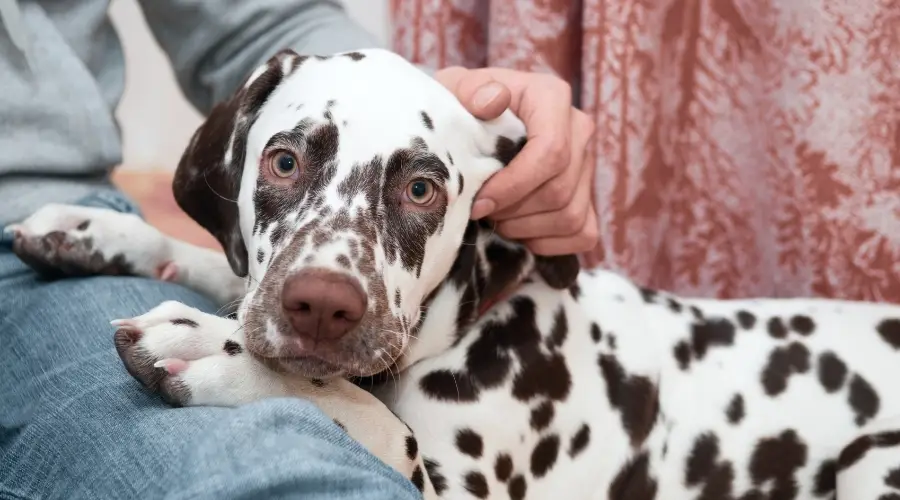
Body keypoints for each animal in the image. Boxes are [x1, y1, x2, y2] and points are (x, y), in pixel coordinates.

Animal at [8, 47, 900, 500]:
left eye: (421, 188)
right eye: (284, 159)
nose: (320, 307)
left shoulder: (455, 487)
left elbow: (371, 419)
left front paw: (210, 349)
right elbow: (225, 272)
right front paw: (97, 230)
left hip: (871, 460)